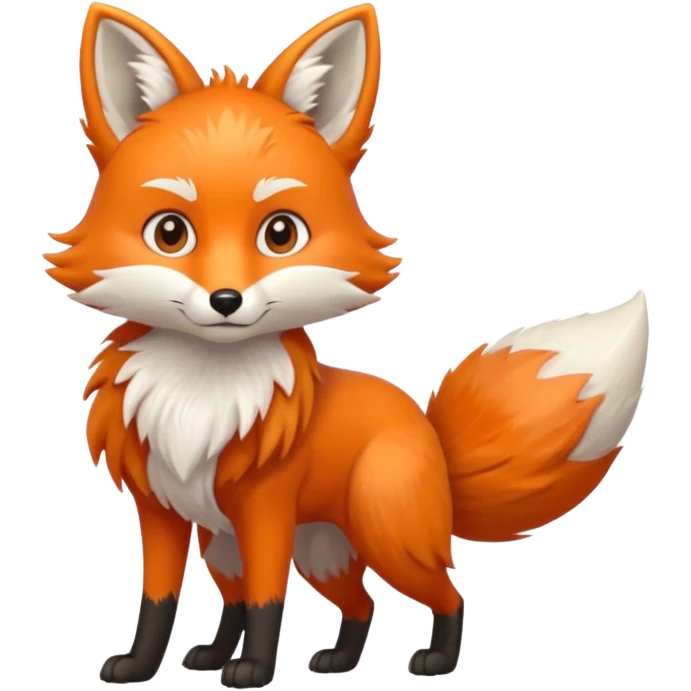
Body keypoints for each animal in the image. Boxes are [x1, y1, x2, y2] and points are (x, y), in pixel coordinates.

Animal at [45, 1, 650, 687]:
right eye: (169, 233)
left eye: (281, 233)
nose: (226, 300)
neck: (200, 392)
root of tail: (428, 433)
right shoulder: (164, 514)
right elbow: (159, 600)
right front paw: (141, 666)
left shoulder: (266, 511)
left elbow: (266, 602)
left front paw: (255, 671)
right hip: (266, 547)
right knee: (346, 604)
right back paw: (298, 658)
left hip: (377, 534)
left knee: (446, 594)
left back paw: (434, 661)